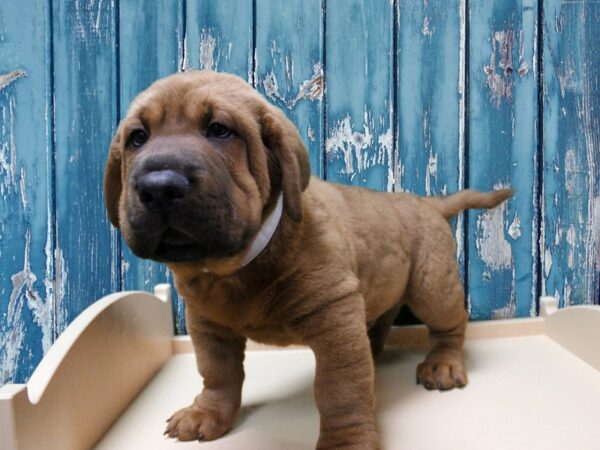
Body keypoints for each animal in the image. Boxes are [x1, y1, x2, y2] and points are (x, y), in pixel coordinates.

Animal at [103, 71, 510, 450]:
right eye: (138, 138)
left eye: (219, 130)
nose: (158, 187)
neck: (236, 267)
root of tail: (427, 203)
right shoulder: (207, 325)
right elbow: (218, 374)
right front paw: (207, 413)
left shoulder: (334, 319)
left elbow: (339, 392)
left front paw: (345, 443)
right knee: (381, 320)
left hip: (431, 288)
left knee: (451, 324)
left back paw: (443, 362)